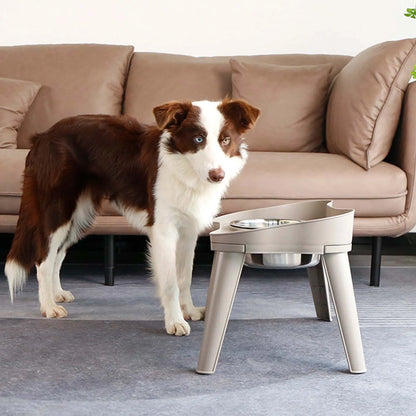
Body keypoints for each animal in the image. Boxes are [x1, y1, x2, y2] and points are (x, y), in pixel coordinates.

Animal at [4, 99, 258, 336]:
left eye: (225, 140)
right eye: (198, 139)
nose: (217, 175)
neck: (183, 167)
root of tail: (43, 136)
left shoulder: (188, 231)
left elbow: (184, 276)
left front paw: (190, 311)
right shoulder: (164, 230)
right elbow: (170, 283)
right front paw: (175, 322)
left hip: (79, 215)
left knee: (57, 254)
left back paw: (57, 294)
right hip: (58, 210)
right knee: (43, 259)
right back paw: (48, 307)